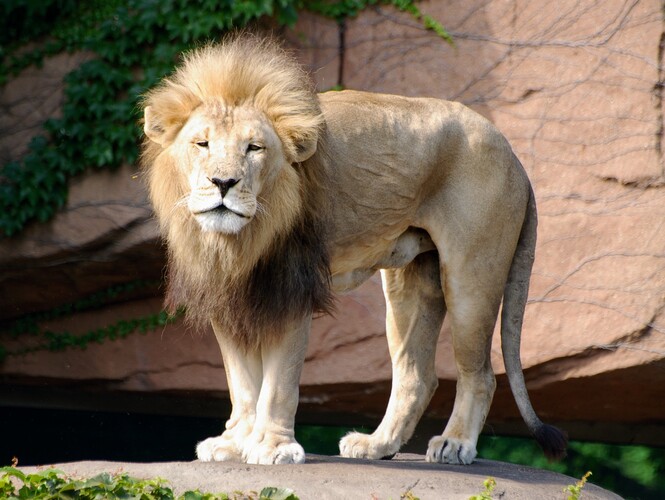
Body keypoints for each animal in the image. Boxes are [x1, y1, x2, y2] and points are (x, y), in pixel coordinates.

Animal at [140, 34, 564, 464]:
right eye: (202, 143)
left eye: (254, 148)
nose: (223, 182)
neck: (238, 241)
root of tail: (514, 156)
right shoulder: (227, 294)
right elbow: (241, 381)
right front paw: (233, 442)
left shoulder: (292, 288)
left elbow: (278, 381)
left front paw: (275, 447)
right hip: (410, 284)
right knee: (417, 376)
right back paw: (376, 445)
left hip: (471, 277)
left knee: (479, 374)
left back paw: (455, 443)